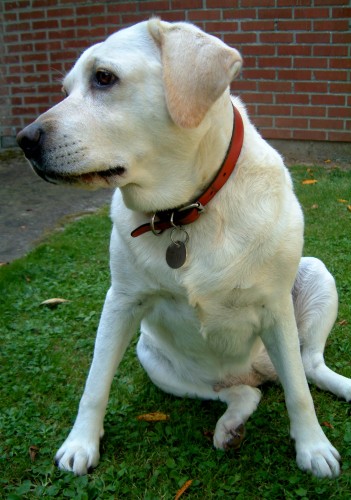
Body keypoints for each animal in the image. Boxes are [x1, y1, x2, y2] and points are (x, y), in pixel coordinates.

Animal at [17, 18, 351, 476]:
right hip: (155, 359)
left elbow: (299, 393)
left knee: (308, 369)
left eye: (103, 78)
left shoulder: (275, 307)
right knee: (242, 394)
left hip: (315, 276)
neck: (185, 211)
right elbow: (95, 382)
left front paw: (313, 447)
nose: (24, 140)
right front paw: (81, 443)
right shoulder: (120, 302)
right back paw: (231, 424)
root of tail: (257, 371)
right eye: (66, 89)